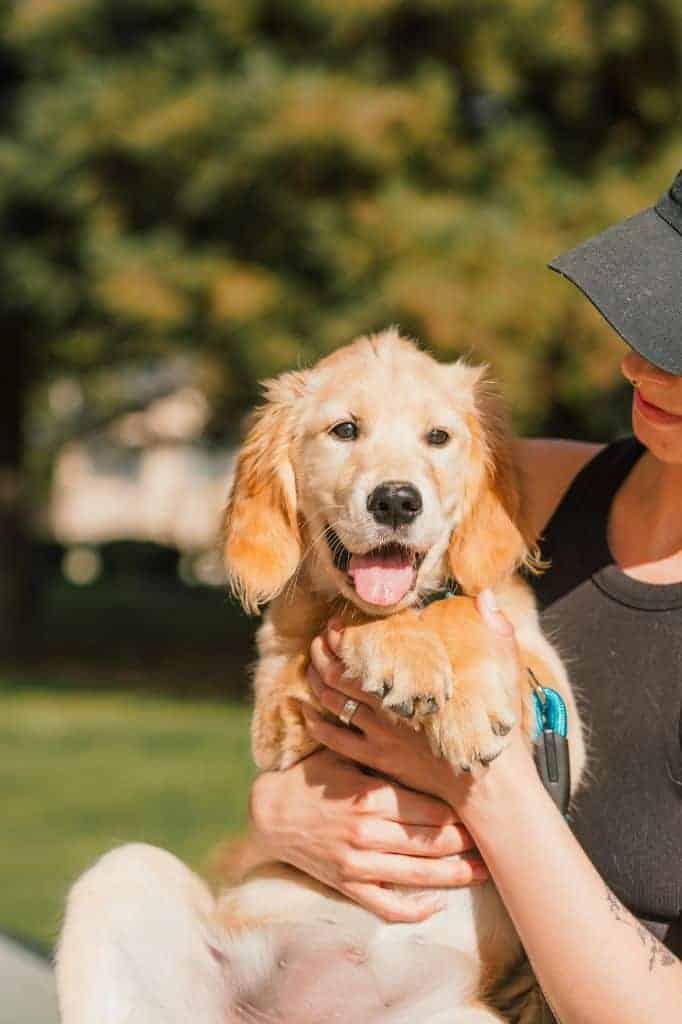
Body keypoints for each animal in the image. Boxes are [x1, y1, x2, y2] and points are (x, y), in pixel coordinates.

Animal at [55, 327, 581, 1024]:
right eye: (345, 430)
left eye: (438, 437)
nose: (396, 500)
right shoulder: (276, 719)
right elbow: (347, 617)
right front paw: (399, 654)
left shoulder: (556, 712)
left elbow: (463, 607)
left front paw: (462, 707)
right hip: (121, 877)